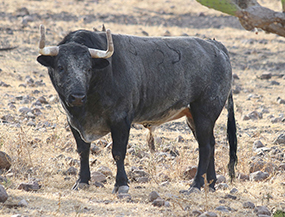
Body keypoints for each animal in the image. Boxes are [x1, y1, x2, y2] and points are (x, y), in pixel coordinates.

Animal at [37, 25, 237, 193]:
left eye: (88, 68)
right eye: (61, 67)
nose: (77, 97)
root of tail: (215, 45)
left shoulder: (121, 121)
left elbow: (118, 152)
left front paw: (121, 184)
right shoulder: (74, 123)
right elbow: (83, 150)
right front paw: (82, 181)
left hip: (204, 112)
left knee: (205, 147)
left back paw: (196, 185)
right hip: (194, 117)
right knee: (211, 144)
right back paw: (211, 184)